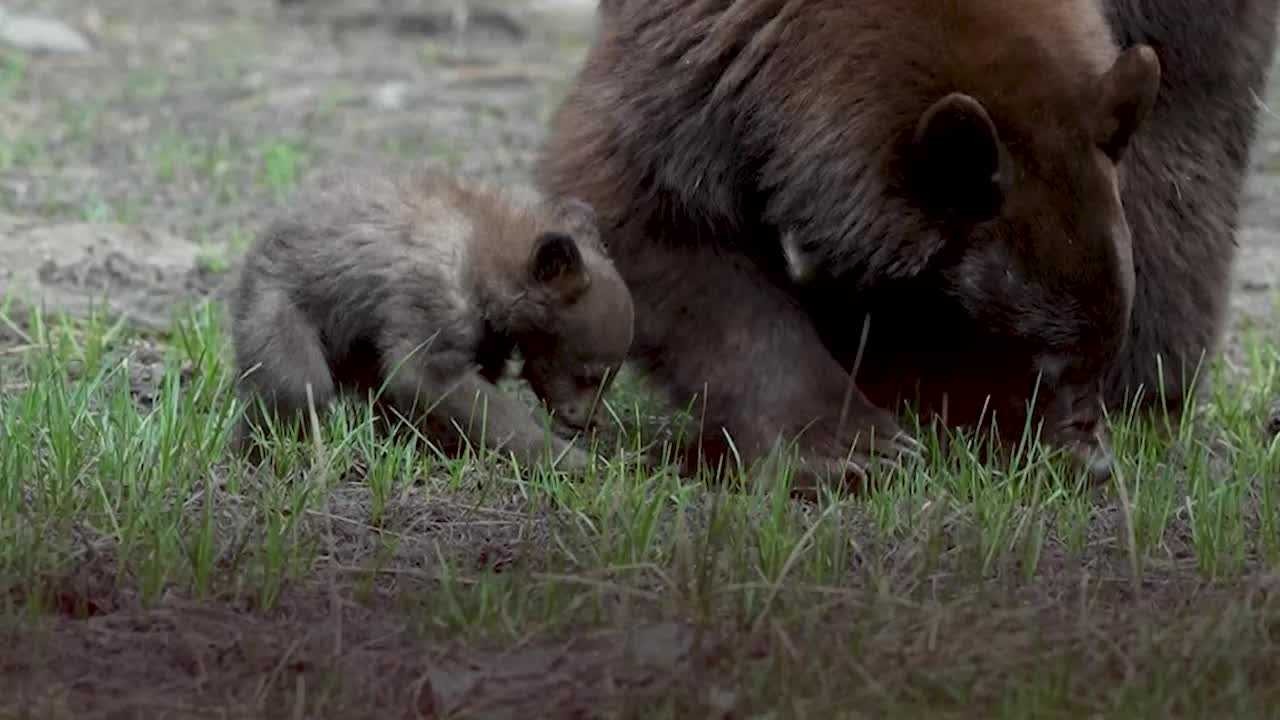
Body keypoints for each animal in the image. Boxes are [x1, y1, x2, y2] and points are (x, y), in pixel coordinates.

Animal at [532, 0, 1269, 486]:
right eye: (1042, 365)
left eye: (1095, 352)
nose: (1091, 463)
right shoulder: (707, 50)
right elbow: (651, 198)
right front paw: (853, 443)